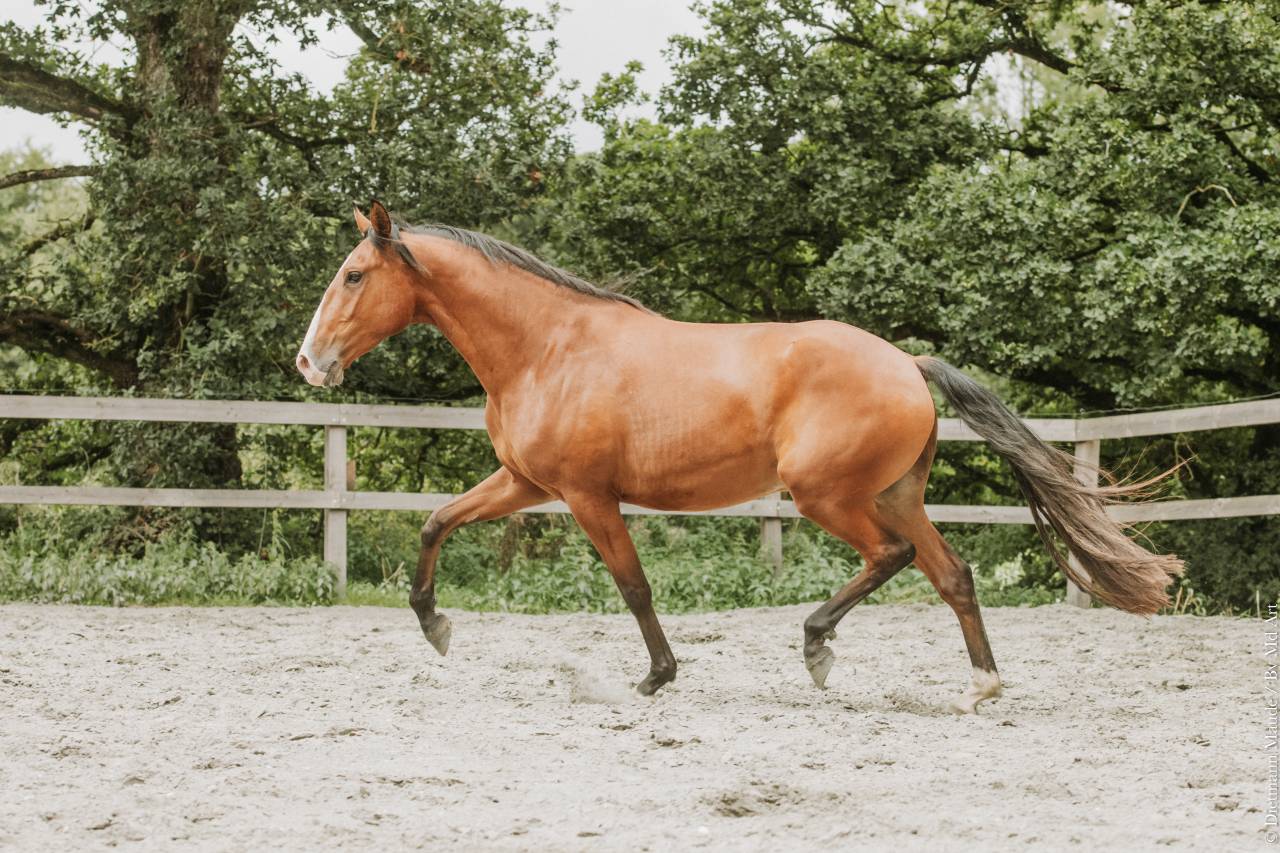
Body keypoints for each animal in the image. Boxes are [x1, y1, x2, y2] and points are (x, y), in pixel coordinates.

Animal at [296, 201, 1183, 713]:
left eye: (353, 274)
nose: (309, 363)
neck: (548, 346)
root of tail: (906, 362)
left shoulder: (586, 495)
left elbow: (633, 585)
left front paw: (656, 675)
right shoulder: (523, 482)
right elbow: (435, 523)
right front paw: (436, 625)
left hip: (827, 495)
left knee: (892, 558)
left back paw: (818, 645)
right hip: (894, 493)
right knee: (952, 573)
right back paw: (983, 684)